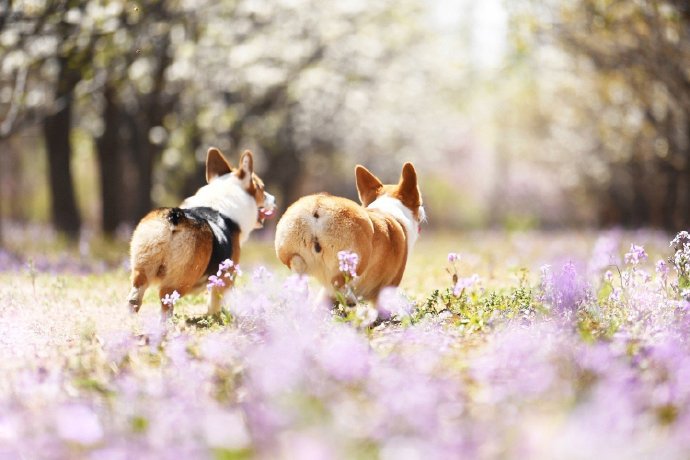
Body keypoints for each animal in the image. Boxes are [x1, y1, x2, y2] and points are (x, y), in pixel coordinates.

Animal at [126, 149, 274, 318]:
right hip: (180, 280)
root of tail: (175, 217)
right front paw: (215, 317)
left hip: (142, 267)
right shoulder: (225, 279)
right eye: (261, 188)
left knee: (135, 297)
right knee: (166, 301)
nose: (274, 199)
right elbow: (215, 303)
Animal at [274, 163, 424, 302]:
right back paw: (350, 300)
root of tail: (317, 208)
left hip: (289, 253)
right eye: (420, 204)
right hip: (356, 261)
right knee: (337, 284)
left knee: (298, 271)